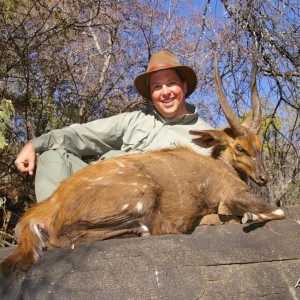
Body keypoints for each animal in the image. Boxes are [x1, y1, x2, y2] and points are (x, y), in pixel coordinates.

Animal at [0, 58, 284, 272]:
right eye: (239, 147)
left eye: (260, 145)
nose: (263, 178)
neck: (220, 166)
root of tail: (50, 205)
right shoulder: (233, 194)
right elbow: (276, 211)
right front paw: (243, 217)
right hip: (142, 194)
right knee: (60, 237)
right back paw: (141, 230)